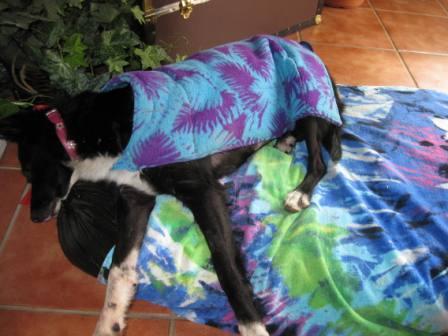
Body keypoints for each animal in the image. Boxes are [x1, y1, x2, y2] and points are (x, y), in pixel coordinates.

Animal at [0, 40, 344, 336]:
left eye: (28, 171)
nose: (34, 217)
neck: (91, 133)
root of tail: (305, 48)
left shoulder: (203, 191)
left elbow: (225, 266)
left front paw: (252, 326)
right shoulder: (135, 197)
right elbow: (119, 269)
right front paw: (110, 322)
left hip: (309, 105)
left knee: (319, 160)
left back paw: (300, 192)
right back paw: (284, 140)